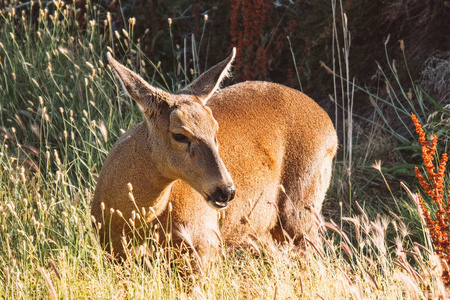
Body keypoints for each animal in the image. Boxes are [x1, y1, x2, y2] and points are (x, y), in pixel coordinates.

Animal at [90, 48, 338, 266]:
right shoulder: (113, 252)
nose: (226, 190)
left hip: (302, 205)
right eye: (179, 134)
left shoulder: (202, 242)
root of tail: (330, 127)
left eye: (215, 130)